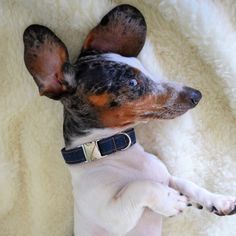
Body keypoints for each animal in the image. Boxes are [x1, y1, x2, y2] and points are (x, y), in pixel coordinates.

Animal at [22, 4, 236, 236]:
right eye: (132, 82)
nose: (196, 95)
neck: (115, 152)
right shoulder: (114, 214)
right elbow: (141, 186)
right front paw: (170, 200)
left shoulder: (167, 177)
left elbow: (188, 184)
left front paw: (218, 200)